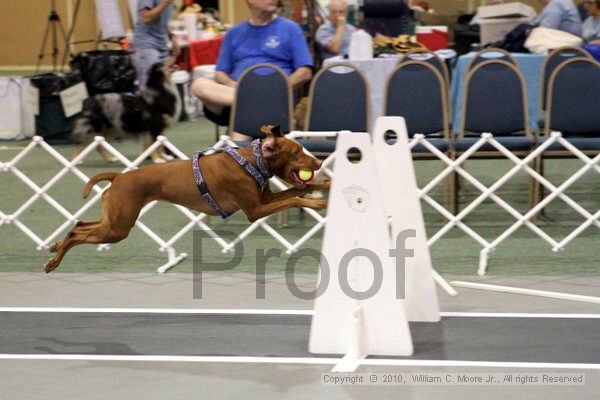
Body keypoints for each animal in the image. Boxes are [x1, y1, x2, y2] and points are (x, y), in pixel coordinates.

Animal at [43, 126, 328, 274]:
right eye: (296, 151)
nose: (319, 162)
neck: (251, 160)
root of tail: (119, 177)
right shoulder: (255, 210)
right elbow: (293, 200)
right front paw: (316, 203)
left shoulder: (265, 198)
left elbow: (297, 191)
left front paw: (324, 186)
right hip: (118, 227)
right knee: (79, 233)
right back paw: (54, 261)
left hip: (113, 222)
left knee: (79, 225)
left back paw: (56, 246)